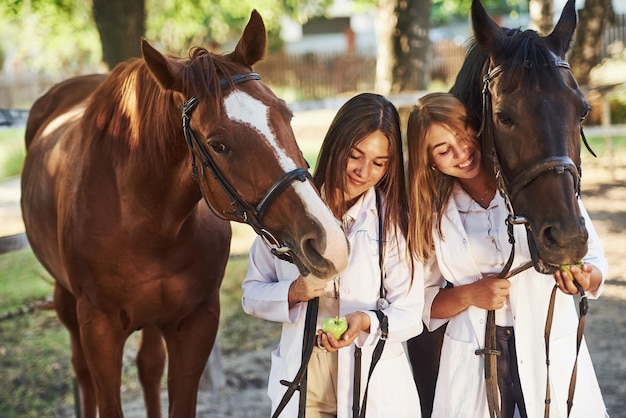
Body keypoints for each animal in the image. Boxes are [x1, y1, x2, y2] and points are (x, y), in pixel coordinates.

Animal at [22, 9, 348, 418]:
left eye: (287, 115)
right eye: (218, 144)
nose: (329, 242)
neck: (143, 219)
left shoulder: (196, 323)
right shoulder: (98, 329)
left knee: (148, 367)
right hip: (68, 303)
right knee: (83, 375)